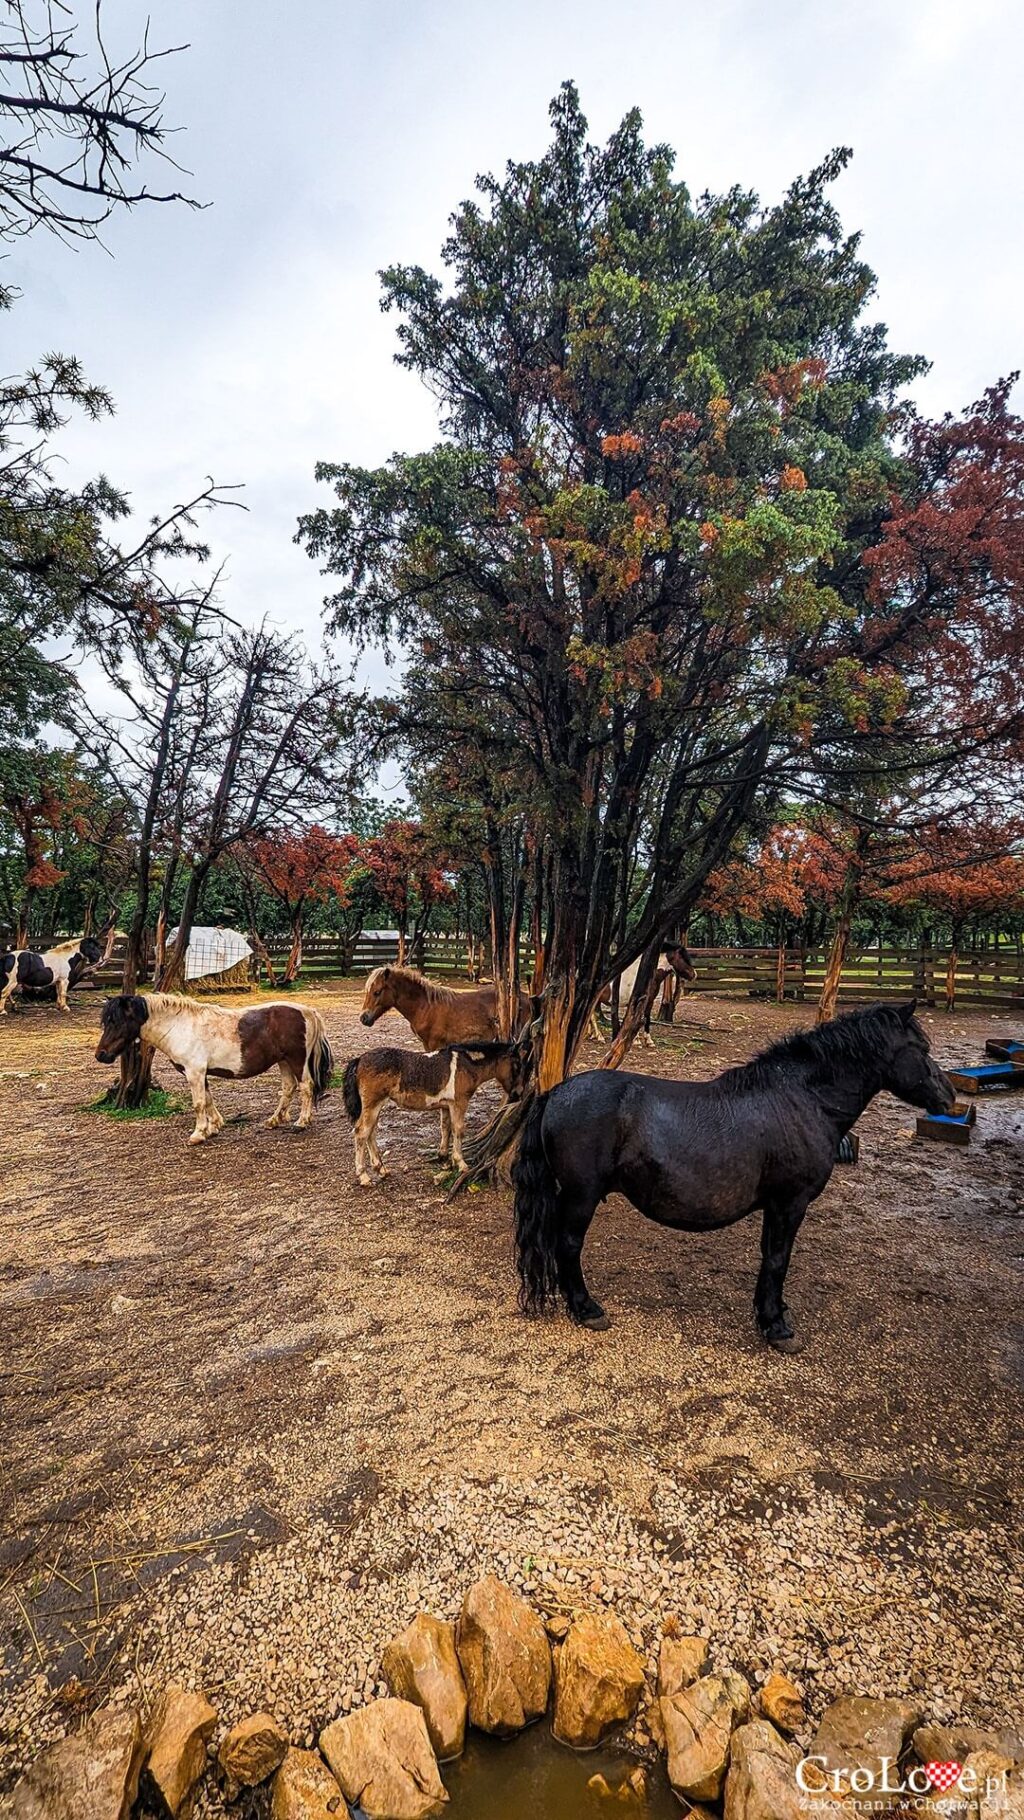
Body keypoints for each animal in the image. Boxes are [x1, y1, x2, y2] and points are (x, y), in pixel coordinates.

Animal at [96, 990, 332, 1142]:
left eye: (116, 1021)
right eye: (106, 1021)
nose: (101, 1055)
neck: (180, 1026)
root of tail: (308, 1011)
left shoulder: (194, 1072)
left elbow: (199, 1103)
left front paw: (198, 1134)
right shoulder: (200, 1073)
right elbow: (208, 1100)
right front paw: (214, 1127)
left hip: (296, 1060)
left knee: (306, 1087)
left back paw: (302, 1122)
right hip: (283, 1061)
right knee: (288, 1088)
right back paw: (274, 1120)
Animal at [343, 1048, 527, 1186]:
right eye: (516, 1066)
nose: (518, 1093)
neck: (467, 1064)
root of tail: (360, 1059)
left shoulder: (446, 1106)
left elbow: (445, 1128)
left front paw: (443, 1157)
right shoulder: (459, 1103)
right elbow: (458, 1129)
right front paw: (460, 1163)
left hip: (376, 1105)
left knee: (370, 1132)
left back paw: (381, 1169)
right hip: (373, 1103)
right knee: (361, 1132)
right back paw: (364, 1176)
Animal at [516, 1004, 960, 1361]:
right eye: (921, 1049)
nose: (950, 1097)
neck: (803, 1100)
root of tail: (555, 1093)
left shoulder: (777, 1206)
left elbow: (770, 1259)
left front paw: (771, 1314)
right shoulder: (789, 1203)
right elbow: (778, 1260)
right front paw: (777, 1328)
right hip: (581, 1196)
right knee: (568, 1245)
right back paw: (586, 1308)